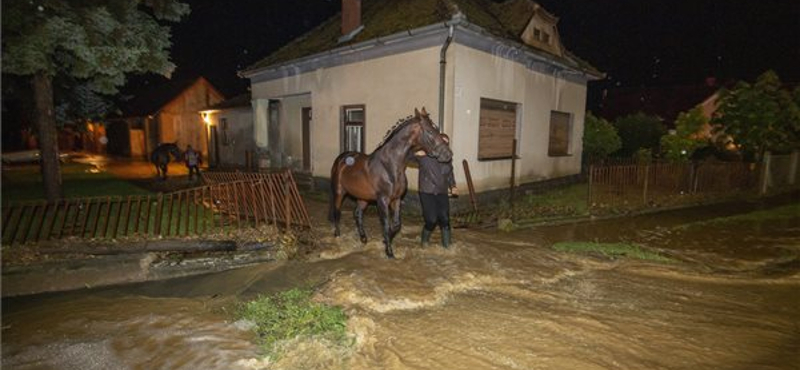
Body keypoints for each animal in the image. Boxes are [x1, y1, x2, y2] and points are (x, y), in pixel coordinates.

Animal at [332, 106, 454, 258]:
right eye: (430, 131)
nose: (448, 154)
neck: (390, 165)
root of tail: (342, 158)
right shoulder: (383, 200)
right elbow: (385, 224)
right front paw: (389, 252)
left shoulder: (396, 199)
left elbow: (396, 224)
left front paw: (386, 241)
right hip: (339, 192)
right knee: (337, 212)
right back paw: (337, 235)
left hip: (363, 197)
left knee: (358, 213)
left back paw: (363, 238)